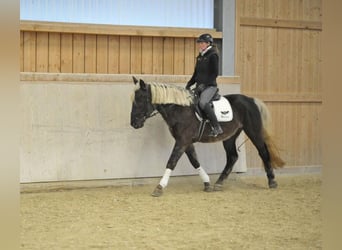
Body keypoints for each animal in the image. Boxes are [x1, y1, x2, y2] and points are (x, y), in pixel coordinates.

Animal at [130, 76, 284, 197]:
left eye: (141, 99)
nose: (134, 123)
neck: (179, 110)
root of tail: (251, 100)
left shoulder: (182, 141)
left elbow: (171, 162)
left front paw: (159, 187)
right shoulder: (185, 142)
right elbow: (195, 161)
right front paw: (207, 183)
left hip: (253, 132)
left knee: (263, 152)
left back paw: (272, 181)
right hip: (229, 137)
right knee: (232, 157)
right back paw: (219, 183)